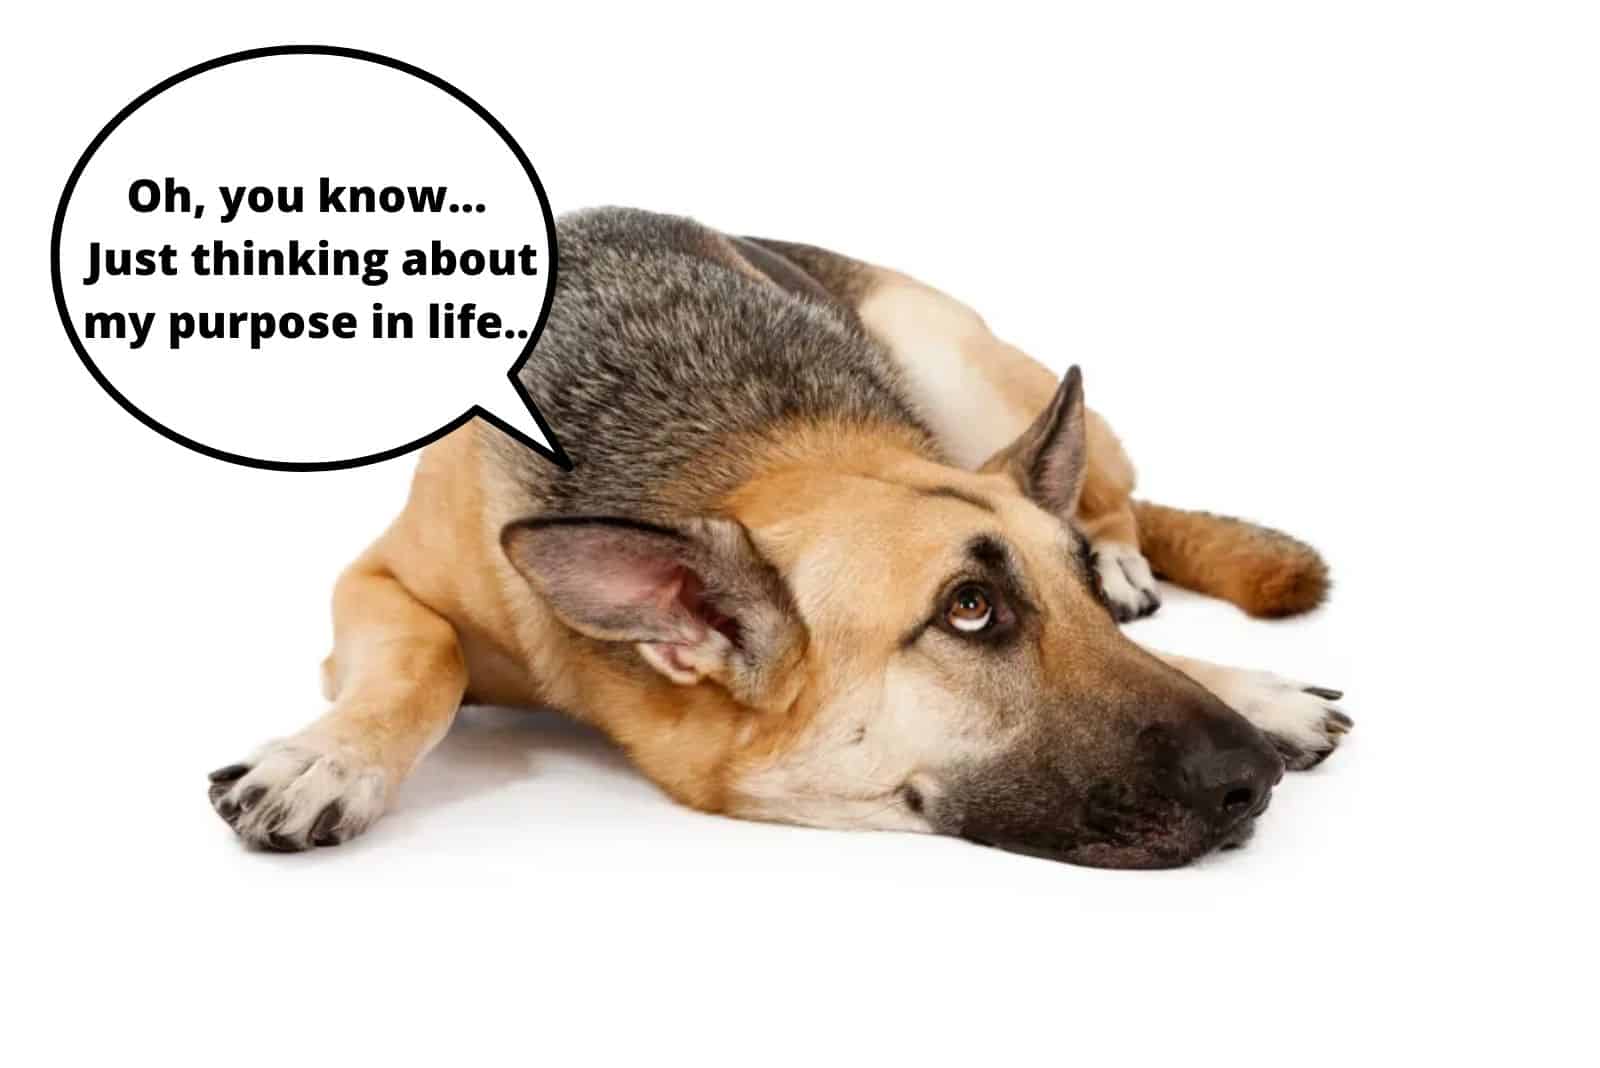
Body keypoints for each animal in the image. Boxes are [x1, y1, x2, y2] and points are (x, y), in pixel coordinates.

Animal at [200, 206, 1350, 869]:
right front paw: (328, 757)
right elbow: (423, 659)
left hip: (956, 361)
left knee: (1113, 488)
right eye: (970, 611)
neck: (743, 452)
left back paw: (1122, 551)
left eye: (1050, 595)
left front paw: (1247, 684)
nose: (1254, 775)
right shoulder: (379, 582)